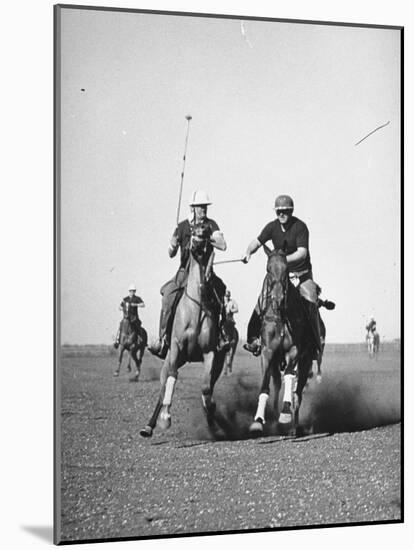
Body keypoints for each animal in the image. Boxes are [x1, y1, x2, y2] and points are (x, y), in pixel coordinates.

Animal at [142, 222, 226, 438]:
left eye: (206, 232)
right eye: (193, 231)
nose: (195, 245)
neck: (195, 307)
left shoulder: (210, 352)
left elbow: (206, 388)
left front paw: (213, 421)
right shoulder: (176, 347)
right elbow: (172, 377)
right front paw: (165, 418)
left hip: (217, 363)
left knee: (209, 386)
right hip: (171, 357)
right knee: (163, 387)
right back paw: (149, 426)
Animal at [247, 246, 322, 440]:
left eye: (287, 270)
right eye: (268, 269)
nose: (277, 298)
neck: (281, 315)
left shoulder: (294, 350)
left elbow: (289, 376)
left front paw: (286, 413)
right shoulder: (267, 352)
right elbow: (265, 386)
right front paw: (258, 421)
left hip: (306, 361)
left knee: (298, 394)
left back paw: (293, 427)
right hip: (275, 362)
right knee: (276, 386)